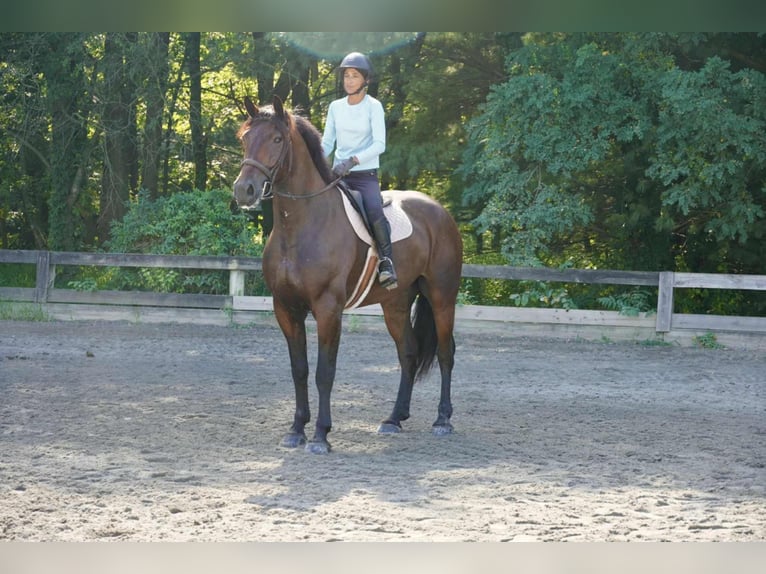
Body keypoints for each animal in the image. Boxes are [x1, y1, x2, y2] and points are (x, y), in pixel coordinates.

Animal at [233, 95, 463, 454]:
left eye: (277, 139)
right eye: (245, 138)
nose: (244, 190)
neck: (299, 226)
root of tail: (439, 211)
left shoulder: (328, 309)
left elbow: (324, 372)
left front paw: (320, 436)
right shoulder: (286, 308)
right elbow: (299, 370)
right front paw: (296, 429)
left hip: (441, 296)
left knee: (445, 352)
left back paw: (442, 420)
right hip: (396, 303)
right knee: (408, 352)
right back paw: (394, 419)